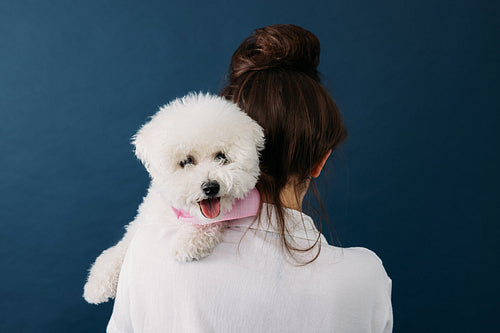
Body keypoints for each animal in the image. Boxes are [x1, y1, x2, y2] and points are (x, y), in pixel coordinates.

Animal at [83, 91, 266, 304]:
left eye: (221, 157)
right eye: (186, 161)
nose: (211, 187)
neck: (181, 215)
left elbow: (210, 224)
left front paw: (189, 242)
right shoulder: (145, 222)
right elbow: (123, 246)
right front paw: (99, 281)